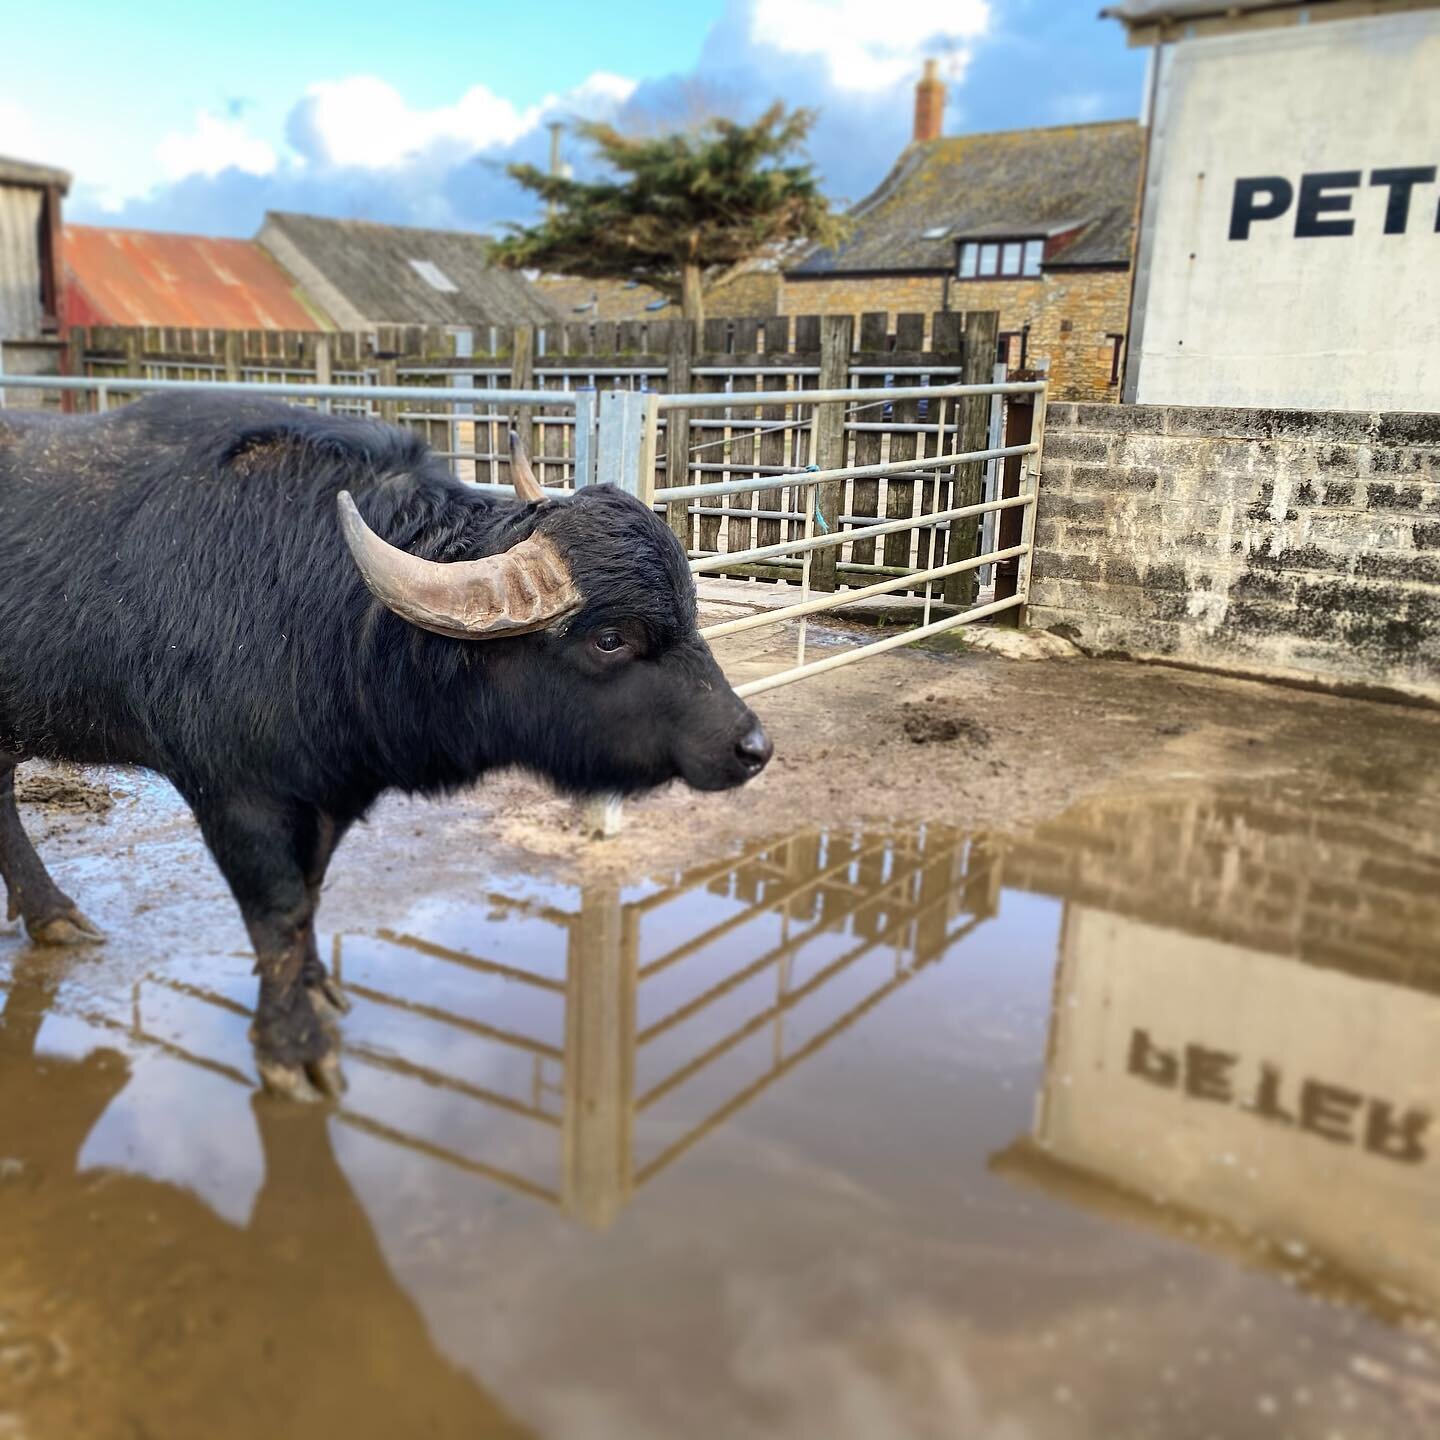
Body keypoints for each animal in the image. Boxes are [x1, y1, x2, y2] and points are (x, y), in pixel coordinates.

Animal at [0, 388, 771, 1094]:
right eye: (612, 639)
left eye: (691, 613)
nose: (752, 747)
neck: (319, 608)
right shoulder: (235, 794)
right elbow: (279, 914)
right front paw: (292, 1046)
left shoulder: (326, 791)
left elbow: (311, 896)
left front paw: (317, 990)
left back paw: (52, 916)